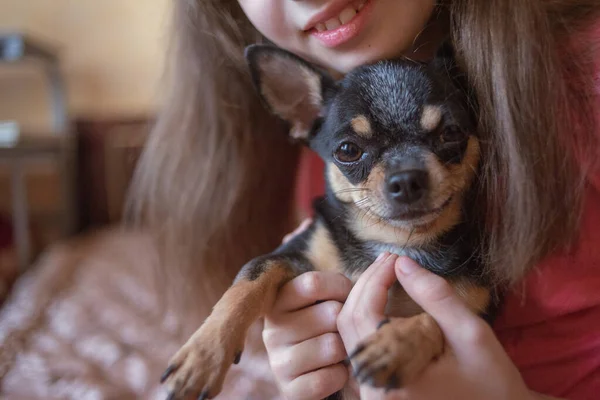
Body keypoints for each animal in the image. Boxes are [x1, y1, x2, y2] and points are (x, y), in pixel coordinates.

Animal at [159, 41, 492, 400]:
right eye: (347, 151)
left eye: (451, 133)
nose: (406, 179)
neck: (392, 242)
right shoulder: (294, 254)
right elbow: (247, 282)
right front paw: (203, 356)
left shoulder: (475, 308)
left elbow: (437, 320)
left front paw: (395, 344)